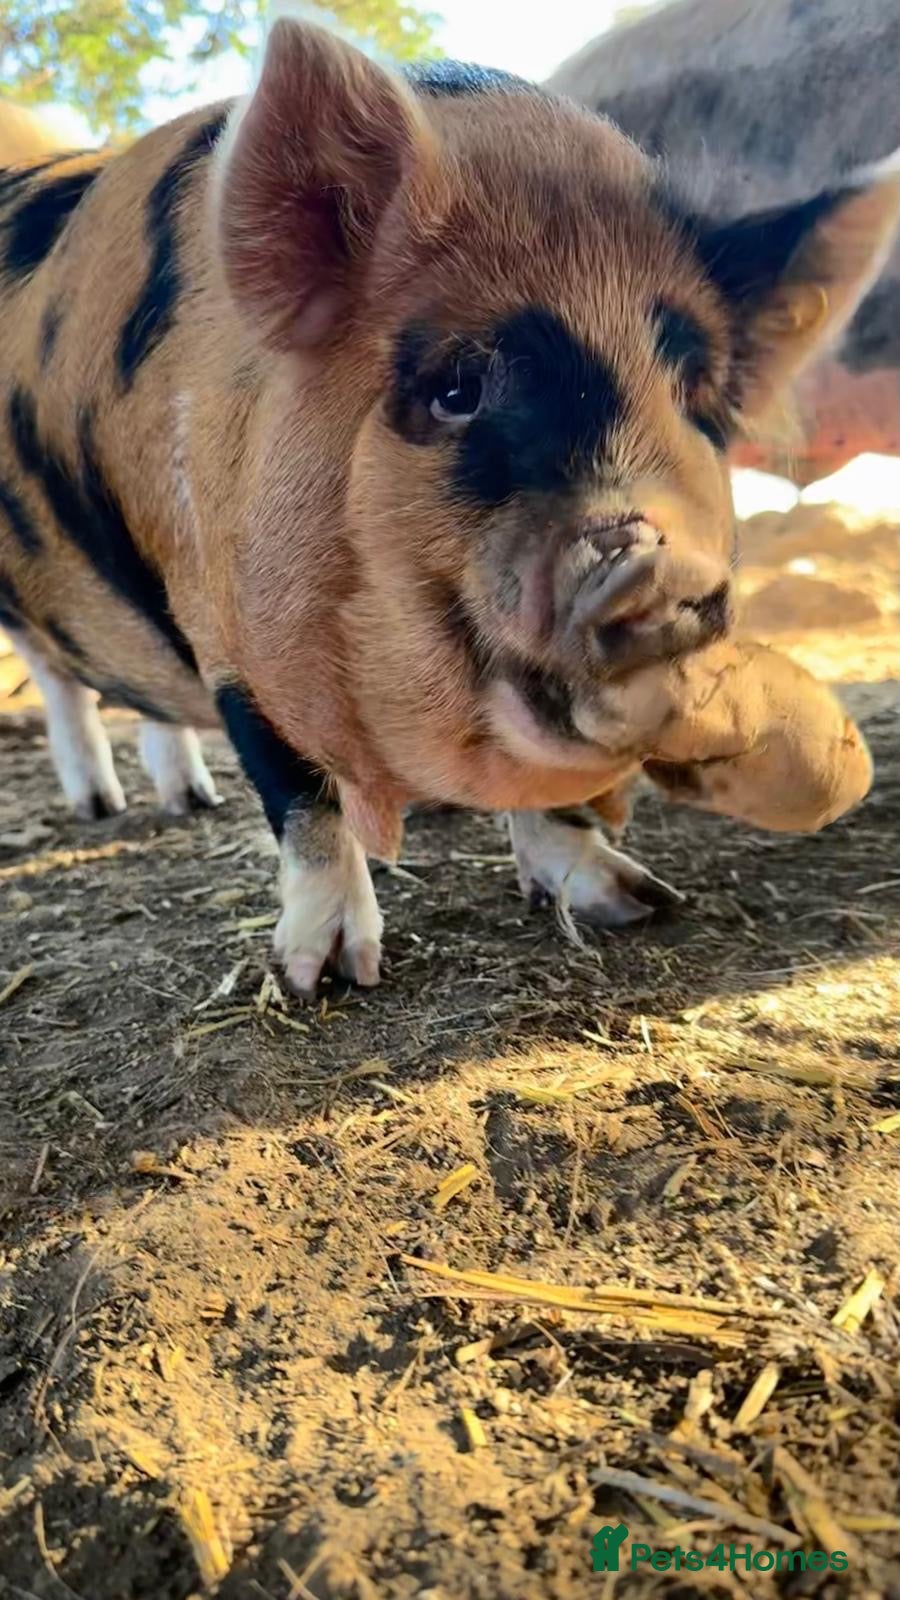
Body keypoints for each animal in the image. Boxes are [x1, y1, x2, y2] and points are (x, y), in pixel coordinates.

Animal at [0, 27, 897, 995]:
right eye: (457, 390)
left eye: (697, 400)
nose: (653, 567)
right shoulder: (224, 611)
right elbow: (298, 791)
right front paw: (326, 977)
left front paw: (636, 903)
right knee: (60, 677)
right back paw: (103, 808)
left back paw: (188, 800)